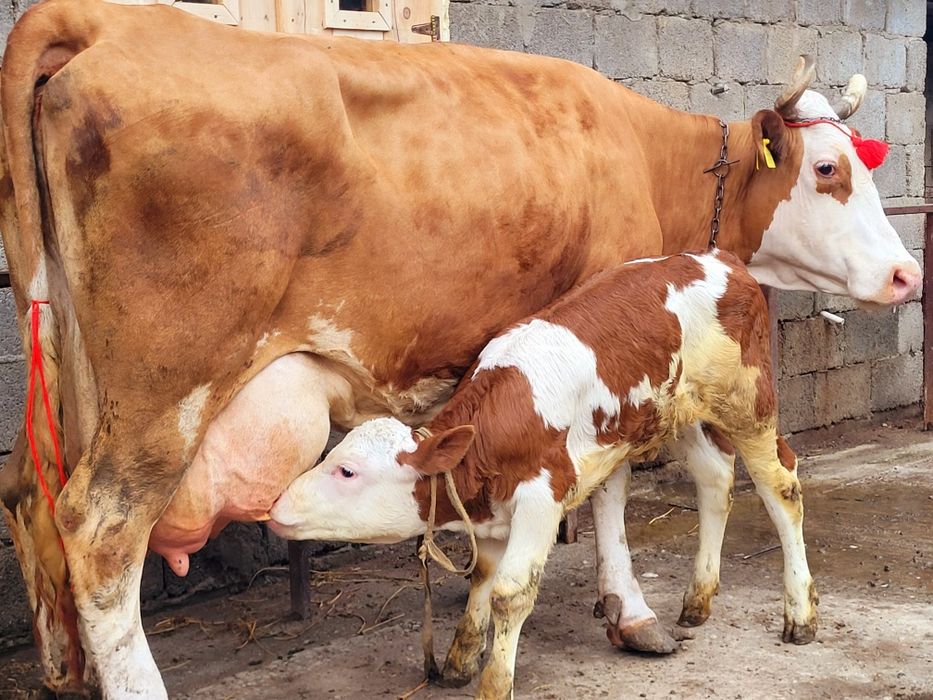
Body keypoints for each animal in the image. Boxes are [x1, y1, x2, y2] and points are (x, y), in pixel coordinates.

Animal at [268, 250, 814, 700]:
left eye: (346, 471)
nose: (277, 506)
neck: (490, 429)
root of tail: (722, 259)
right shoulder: (490, 513)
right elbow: (483, 576)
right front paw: (460, 658)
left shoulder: (541, 497)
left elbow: (510, 592)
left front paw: (494, 684)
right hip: (675, 411)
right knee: (714, 477)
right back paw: (698, 600)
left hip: (748, 400)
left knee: (781, 486)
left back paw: (800, 614)